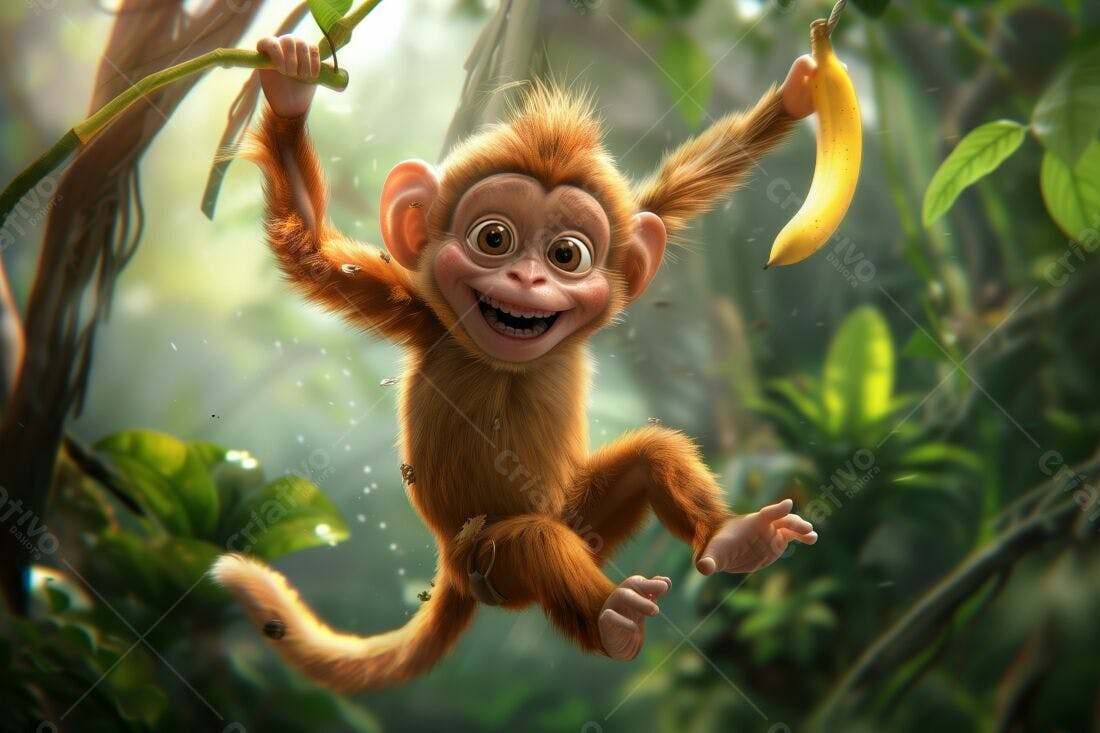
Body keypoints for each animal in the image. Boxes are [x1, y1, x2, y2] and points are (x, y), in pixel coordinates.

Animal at [211, 33, 819, 692]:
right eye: (493, 238)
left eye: (567, 254)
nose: (527, 279)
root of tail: (450, 567)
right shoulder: (422, 316)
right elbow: (312, 254)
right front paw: (291, 90)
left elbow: (682, 188)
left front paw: (797, 92)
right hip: (490, 566)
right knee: (533, 542)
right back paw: (612, 617)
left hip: (583, 520)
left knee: (653, 453)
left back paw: (733, 538)